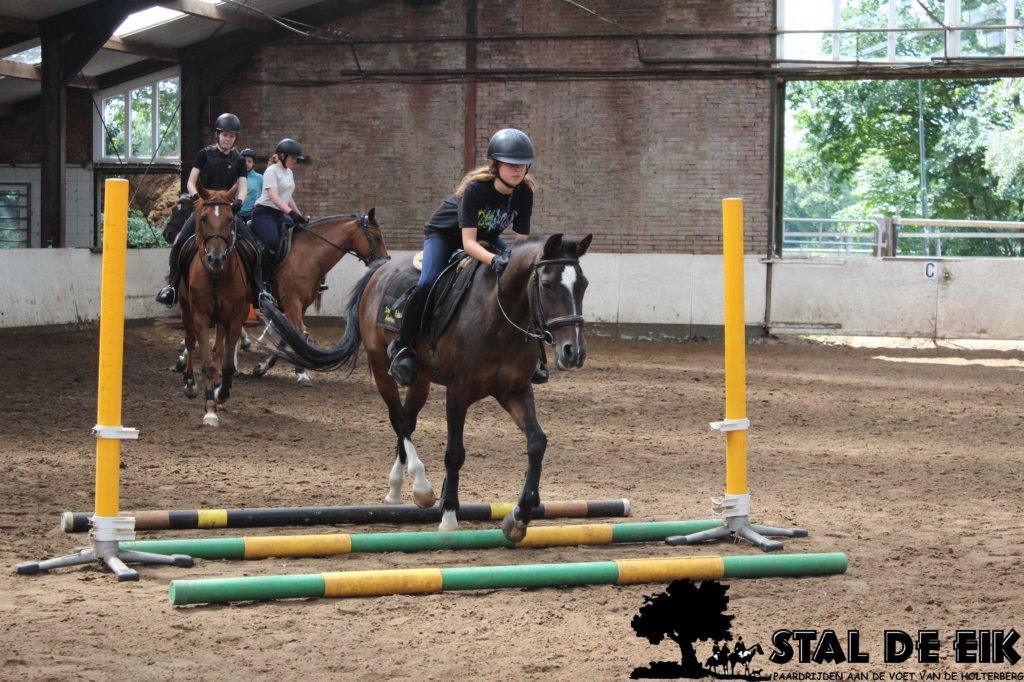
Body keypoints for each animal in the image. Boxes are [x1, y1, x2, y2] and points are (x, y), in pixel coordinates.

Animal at [178, 186, 254, 426]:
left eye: (230, 219)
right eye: (203, 218)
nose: (216, 258)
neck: (217, 276)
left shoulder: (235, 319)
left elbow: (227, 363)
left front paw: (221, 394)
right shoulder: (200, 317)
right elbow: (208, 364)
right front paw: (210, 408)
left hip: (221, 320)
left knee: (218, 351)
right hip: (185, 308)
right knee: (190, 341)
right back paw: (190, 384)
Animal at [251, 210, 389, 385]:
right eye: (376, 237)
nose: (385, 262)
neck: (307, 255)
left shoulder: (301, 306)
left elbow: (289, 337)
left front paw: (263, 367)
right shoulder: (292, 303)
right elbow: (297, 335)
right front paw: (301, 373)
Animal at [259, 233, 592, 541]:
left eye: (584, 285)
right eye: (546, 284)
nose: (573, 352)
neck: (499, 319)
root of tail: (381, 270)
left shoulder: (515, 391)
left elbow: (537, 443)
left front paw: (520, 515)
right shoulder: (458, 392)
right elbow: (454, 453)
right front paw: (449, 514)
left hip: (420, 380)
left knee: (408, 419)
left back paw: (396, 488)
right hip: (382, 368)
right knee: (399, 419)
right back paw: (420, 487)